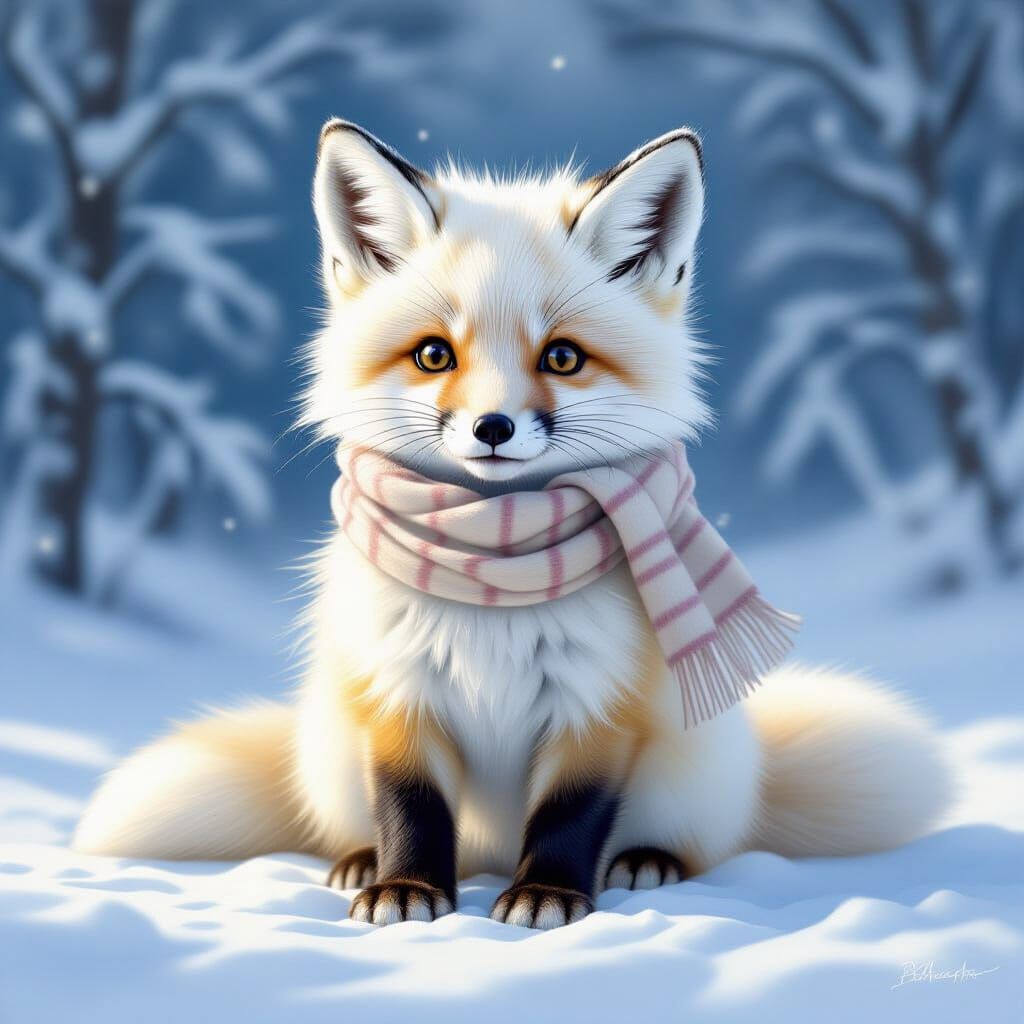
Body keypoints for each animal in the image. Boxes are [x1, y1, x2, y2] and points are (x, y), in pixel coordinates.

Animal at [73, 121, 952, 929]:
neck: (491, 564)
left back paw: (646, 861)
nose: (492, 427)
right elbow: (410, 807)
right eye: (434, 355)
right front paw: (407, 889)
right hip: (331, 745)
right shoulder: (397, 688)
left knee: (694, 840)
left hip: (688, 772)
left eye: (562, 358)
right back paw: (359, 860)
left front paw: (549, 897)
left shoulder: (599, 702)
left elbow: (570, 814)